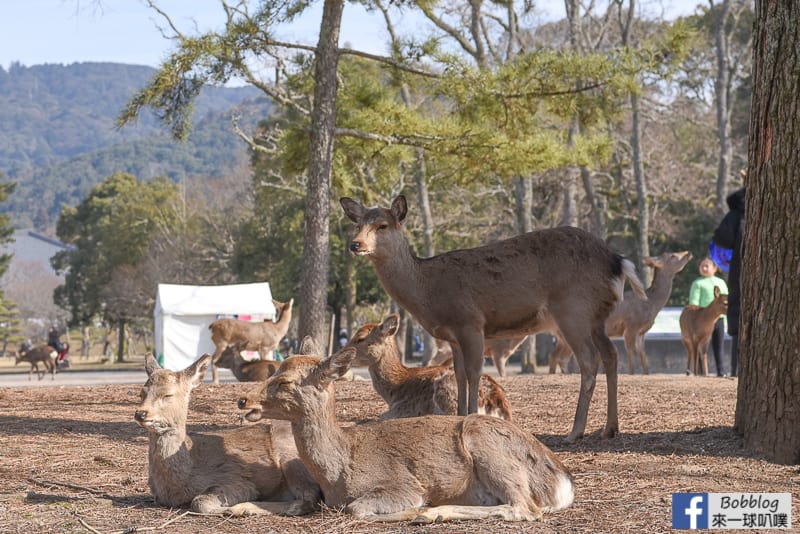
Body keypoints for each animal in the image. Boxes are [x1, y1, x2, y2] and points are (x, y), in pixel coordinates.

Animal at [134, 354, 318, 516]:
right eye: (142, 393)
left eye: (168, 394)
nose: (140, 413)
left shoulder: (236, 478)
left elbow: (199, 501)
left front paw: (229, 509)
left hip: (291, 458)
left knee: (309, 499)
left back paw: (243, 508)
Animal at [238, 350, 576, 524]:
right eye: (272, 372)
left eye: (284, 381)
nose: (243, 400)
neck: (339, 472)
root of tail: (563, 483)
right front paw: (240, 507)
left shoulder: (402, 484)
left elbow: (356, 508)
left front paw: (417, 508)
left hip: (491, 450)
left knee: (525, 507)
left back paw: (432, 513)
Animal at [346, 314, 512, 422]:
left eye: (360, 338)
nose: (343, 352)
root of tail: (497, 404)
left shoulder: (405, 406)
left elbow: (381, 416)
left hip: (445, 390)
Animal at [548, 252, 692, 374]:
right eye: (673, 255)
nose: (688, 253)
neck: (651, 304)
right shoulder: (631, 325)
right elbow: (631, 352)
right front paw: (631, 373)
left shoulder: (642, 332)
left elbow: (642, 353)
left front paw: (646, 373)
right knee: (561, 357)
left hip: (561, 336)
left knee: (555, 355)